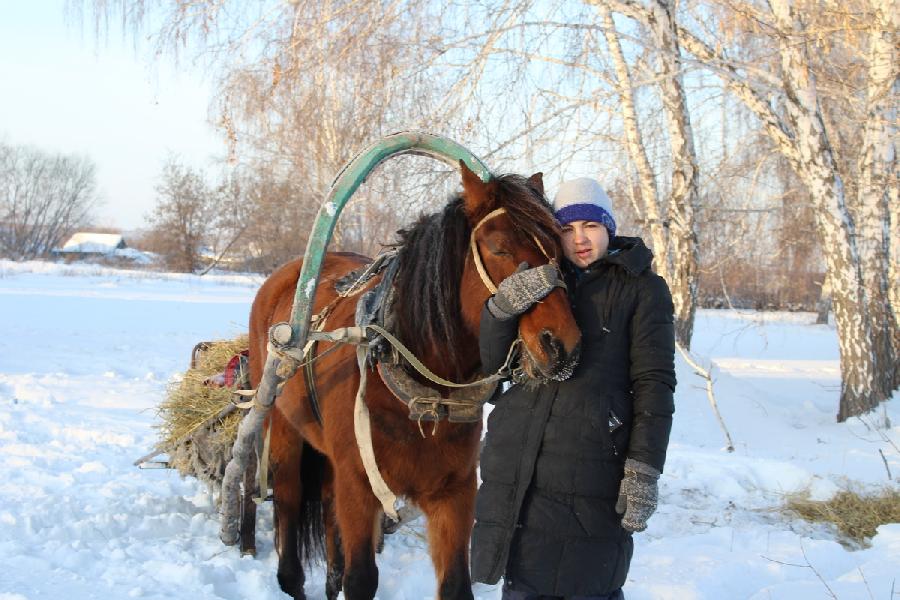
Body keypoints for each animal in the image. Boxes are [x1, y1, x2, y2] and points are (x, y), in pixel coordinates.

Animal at [248, 162, 584, 596]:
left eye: (557, 249)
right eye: (499, 248)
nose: (562, 346)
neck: (423, 395)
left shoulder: (453, 493)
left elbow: (456, 582)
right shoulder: (359, 487)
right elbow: (361, 578)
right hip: (282, 430)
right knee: (288, 503)